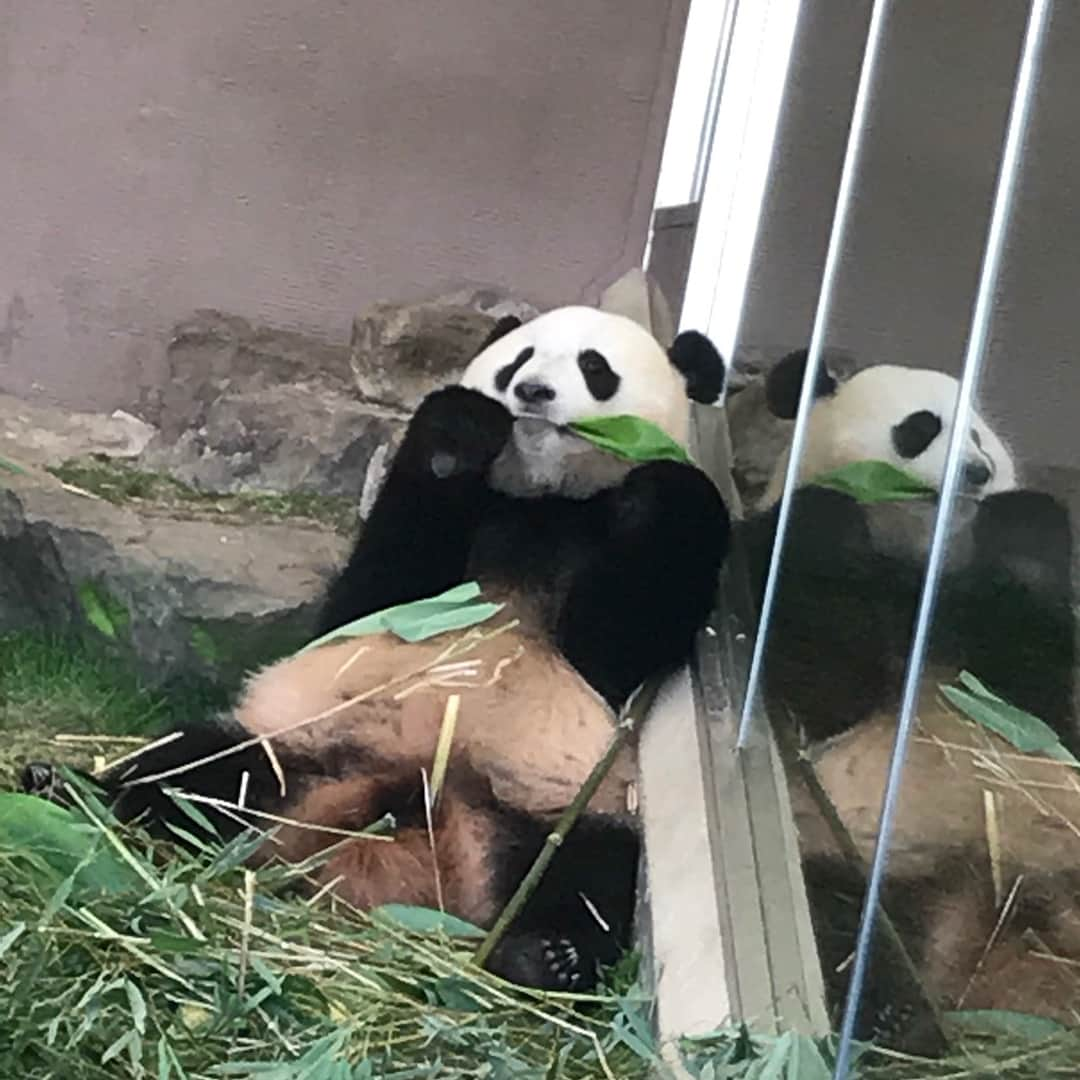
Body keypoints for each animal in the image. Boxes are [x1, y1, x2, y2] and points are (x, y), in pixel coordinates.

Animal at [25, 304, 730, 993]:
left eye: (595, 367)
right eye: (520, 358)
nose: (531, 393)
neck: (545, 503)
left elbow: (622, 629)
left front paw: (659, 487)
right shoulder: (439, 554)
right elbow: (373, 590)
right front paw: (460, 429)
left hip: (553, 806)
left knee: (586, 875)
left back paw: (549, 956)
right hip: (299, 748)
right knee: (196, 768)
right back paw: (69, 789)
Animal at [743, 349, 1080, 1049]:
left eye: (978, 434)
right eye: (920, 427)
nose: (977, 473)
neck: (920, 558)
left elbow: (1037, 703)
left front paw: (1021, 522)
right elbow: (821, 676)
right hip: (857, 861)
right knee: (850, 933)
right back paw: (887, 1013)